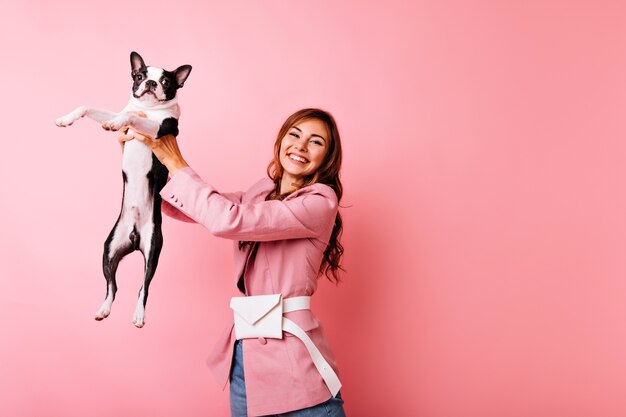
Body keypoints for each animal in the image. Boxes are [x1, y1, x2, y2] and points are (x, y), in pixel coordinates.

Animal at [56, 51, 193, 324]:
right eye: (139, 76)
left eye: (166, 82)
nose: (150, 83)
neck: (147, 109)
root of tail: (134, 236)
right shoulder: (114, 111)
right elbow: (89, 106)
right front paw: (66, 119)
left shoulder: (160, 129)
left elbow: (130, 117)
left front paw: (117, 123)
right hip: (108, 250)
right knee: (112, 286)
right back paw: (104, 309)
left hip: (153, 248)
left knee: (144, 287)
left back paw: (139, 314)